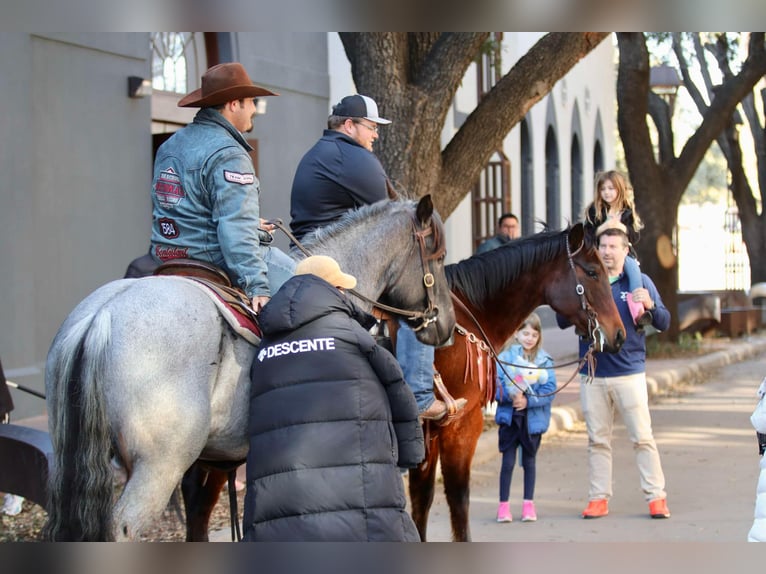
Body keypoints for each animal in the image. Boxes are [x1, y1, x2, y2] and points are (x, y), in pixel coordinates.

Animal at [43, 195, 455, 541]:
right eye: (438, 256)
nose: (446, 325)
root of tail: (101, 316)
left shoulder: (215, 459)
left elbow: (200, 515)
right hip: (156, 469)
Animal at [407, 222, 626, 541]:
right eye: (593, 272)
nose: (619, 335)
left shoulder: (432, 432)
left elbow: (421, 500)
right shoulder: (460, 425)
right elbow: (458, 499)